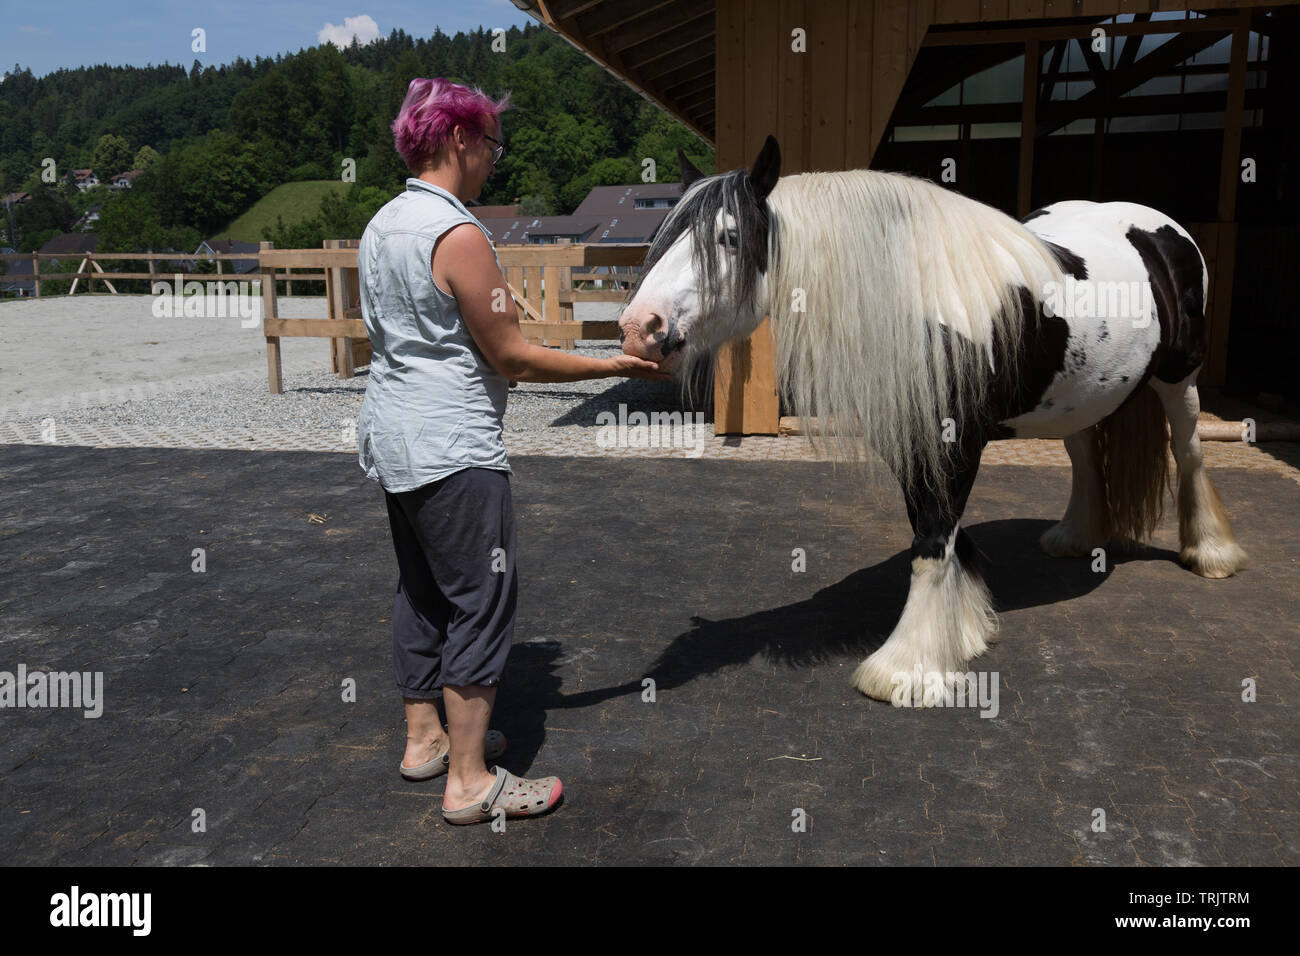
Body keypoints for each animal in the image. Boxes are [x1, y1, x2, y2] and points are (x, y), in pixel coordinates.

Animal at [618, 132, 1248, 702]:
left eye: (727, 237)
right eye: (664, 236)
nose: (638, 329)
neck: (916, 301)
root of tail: (1159, 229)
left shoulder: (956, 440)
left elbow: (932, 536)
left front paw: (909, 668)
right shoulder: (912, 437)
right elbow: (936, 531)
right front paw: (965, 630)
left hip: (1179, 379)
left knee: (1189, 451)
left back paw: (1210, 553)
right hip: (1084, 394)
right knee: (1087, 456)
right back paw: (1076, 538)